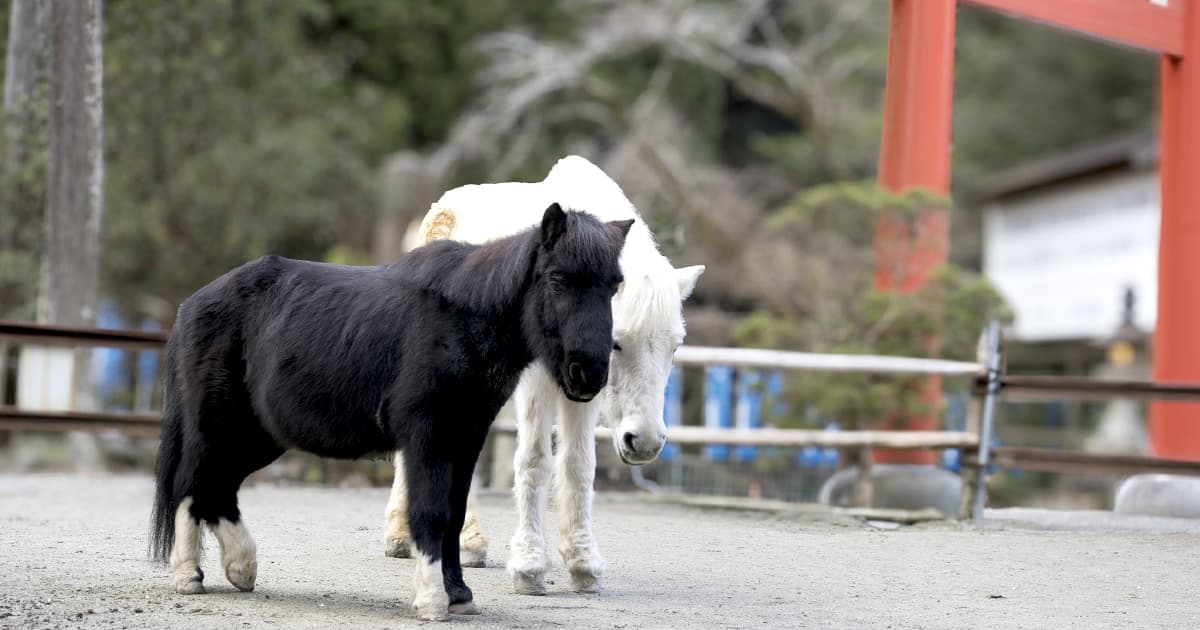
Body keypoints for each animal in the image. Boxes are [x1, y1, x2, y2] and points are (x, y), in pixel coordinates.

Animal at [148, 203, 631, 621]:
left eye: (613, 286)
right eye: (558, 281)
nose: (588, 374)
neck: (462, 319)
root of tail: (192, 305)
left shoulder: (466, 437)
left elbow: (454, 514)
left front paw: (459, 595)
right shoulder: (427, 437)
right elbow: (431, 512)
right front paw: (432, 600)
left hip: (258, 436)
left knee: (217, 487)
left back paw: (242, 567)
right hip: (218, 425)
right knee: (191, 484)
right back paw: (189, 575)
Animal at [383, 155, 704, 595]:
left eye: (674, 346)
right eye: (617, 343)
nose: (646, 442)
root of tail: (440, 214)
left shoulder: (583, 393)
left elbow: (578, 464)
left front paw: (583, 562)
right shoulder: (538, 381)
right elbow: (534, 460)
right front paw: (529, 565)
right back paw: (433, 539)